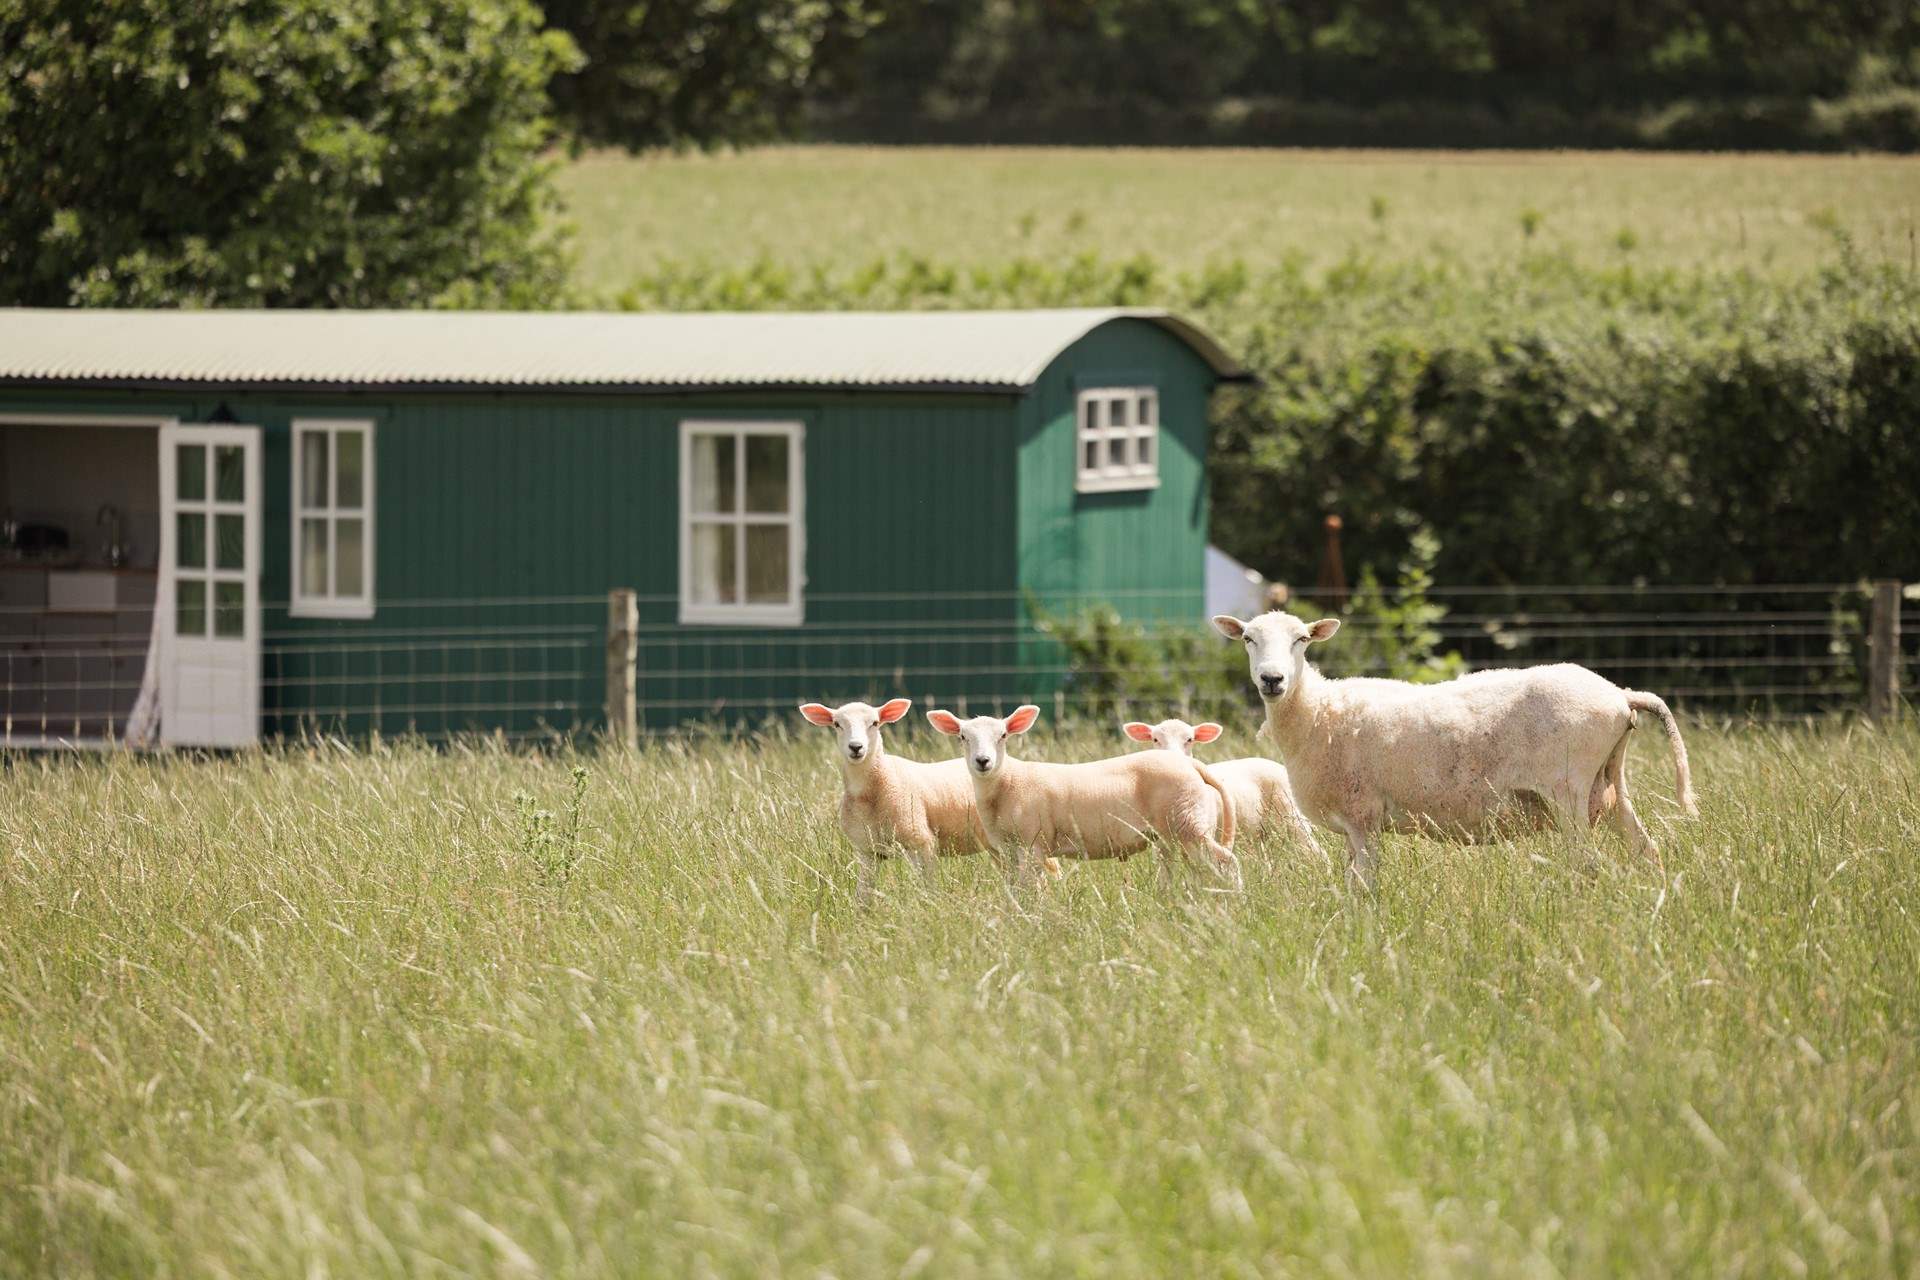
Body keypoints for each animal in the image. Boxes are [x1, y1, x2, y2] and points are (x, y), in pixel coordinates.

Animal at [798, 698, 1057, 901]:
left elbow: (927, 890)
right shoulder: (866, 850)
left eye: (875, 723)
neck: (874, 789)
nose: (856, 747)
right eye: (837, 724)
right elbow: (863, 896)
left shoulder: (922, 843)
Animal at [926, 704, 1241, 888]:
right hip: (1178, 831)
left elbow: (1032, 889)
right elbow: (1014, 889)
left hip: (1188, 824)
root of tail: (1191, 765)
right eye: (962, 737)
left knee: (1227, 861)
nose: (983, 761)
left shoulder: (1033, 844)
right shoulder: (1009, 850)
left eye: (1003, 735)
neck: (1008, 782)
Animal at [1211, 611, 1698, 889]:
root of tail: (1620, 695)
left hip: (1570, 790)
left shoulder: (1362, 815)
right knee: (1648, 851)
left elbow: (1362, 886)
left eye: (1302, 640)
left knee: (1589, 863)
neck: (1317, 713)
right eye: (1248, 639)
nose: (1272, 680)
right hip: (1609, 784)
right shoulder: (1355, 826)